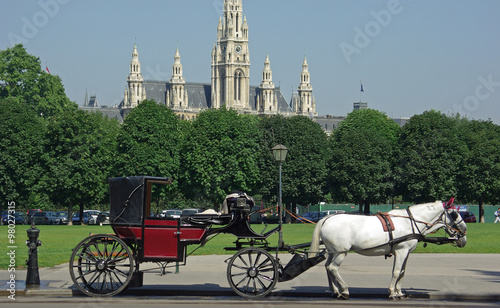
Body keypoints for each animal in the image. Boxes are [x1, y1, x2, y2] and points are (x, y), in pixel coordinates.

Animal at [310, 199, 466, 300]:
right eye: (454, 214)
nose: (464, 232)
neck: (410, 222)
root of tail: (327, 219)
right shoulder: (401, 251)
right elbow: (396, 272)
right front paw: (392, 292)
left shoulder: (406, 252)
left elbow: (402, 272)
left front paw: (400, 292)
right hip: (341, 252)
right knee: (333, 268)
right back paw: (345, 290)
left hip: (333, 252)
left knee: (327, 266)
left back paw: (335, 291)